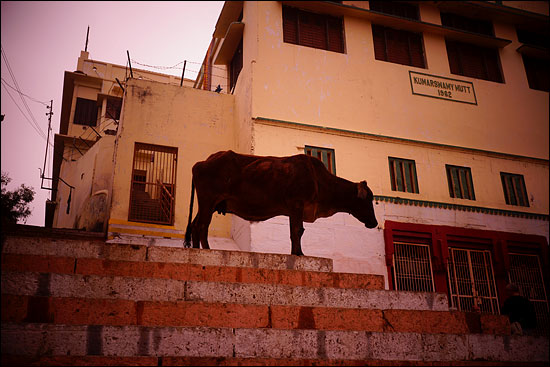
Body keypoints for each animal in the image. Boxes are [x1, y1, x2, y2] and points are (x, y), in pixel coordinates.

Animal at [185, 150, 380, 256]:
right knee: (202, 226)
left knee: (195, 225)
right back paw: (206, 250)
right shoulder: (297, 204)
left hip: (208, 205)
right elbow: (298, 231)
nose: (374, 222)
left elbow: (294, 232)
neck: (319, 180)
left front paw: (296, 252)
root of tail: (202, 162)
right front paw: (299, 253)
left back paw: (197, 250)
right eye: (368, 199)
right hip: (208, 201)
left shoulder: (294, 210)